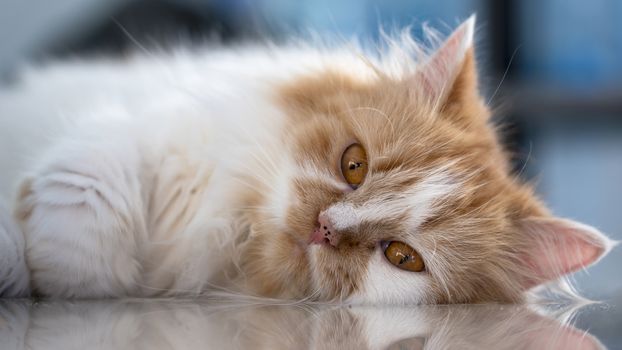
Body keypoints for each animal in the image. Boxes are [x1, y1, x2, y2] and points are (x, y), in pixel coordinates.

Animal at [0, 15, 616, 302]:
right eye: (354, 165)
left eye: (403, 257)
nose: (324, 227)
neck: (235, 235)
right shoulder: (155, 135)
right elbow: (87, 187)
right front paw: (53, 263)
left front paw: (61, 275)